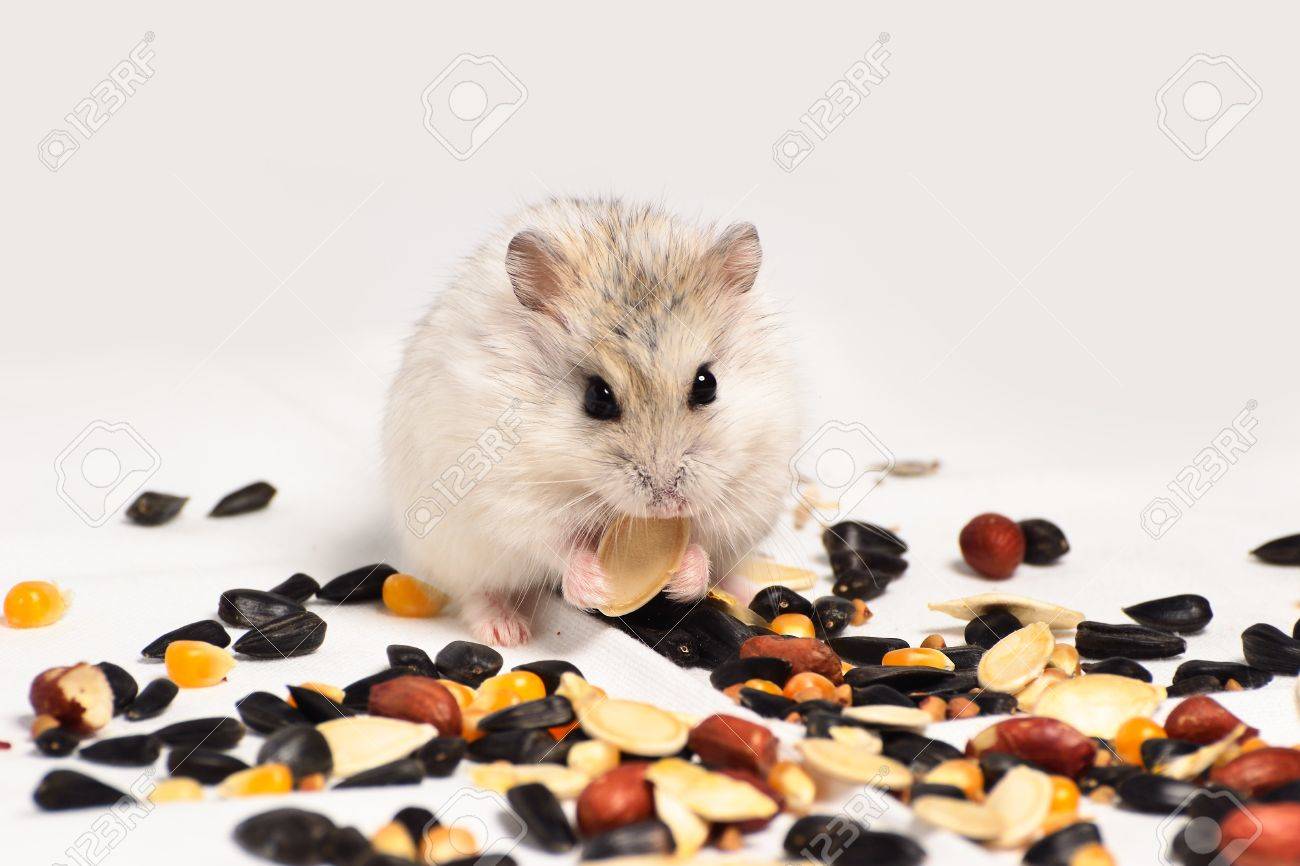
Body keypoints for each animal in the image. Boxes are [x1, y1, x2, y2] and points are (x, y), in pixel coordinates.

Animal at [384, 197, 799, 646]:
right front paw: (599, 585)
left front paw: (681, 578)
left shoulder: (751, 485)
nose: (668, 503)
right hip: (456, 551)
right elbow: (555, 545)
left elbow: (706, 541)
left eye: (707, 384)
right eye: (597, 397)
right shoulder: (511, 498)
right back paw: (507, 631)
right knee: (476, 591)